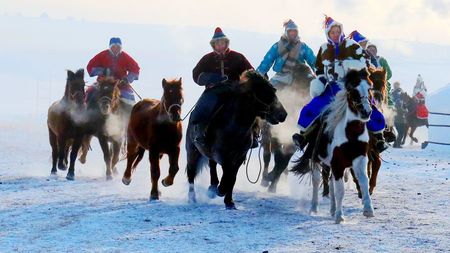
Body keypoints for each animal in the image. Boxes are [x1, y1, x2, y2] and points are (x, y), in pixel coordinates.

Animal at [186, 70, 288, 209]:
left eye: (273, 90)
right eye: (264, 93)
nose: (283, 114)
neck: (235, 126)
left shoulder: (240, 156)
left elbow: (232, 178)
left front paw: (229, 201)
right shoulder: (222, 155)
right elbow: (227, 174)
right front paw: (221, 190)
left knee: (212, 165)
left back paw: (212, 188)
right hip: (192, 151)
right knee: (191, 174)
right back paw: (193, 198)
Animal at [260, 62, 312, 192]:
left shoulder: (293, 141)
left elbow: (283, 161)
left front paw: (273, 183)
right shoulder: (276, 136)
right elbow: (277, 158)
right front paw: (269, 179)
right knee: (267, 156)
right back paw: (264, 179)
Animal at [292, 69, 372, 223]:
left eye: (369, 89)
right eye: (354, 91)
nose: (367, 111)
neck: (351, 135)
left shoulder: (359, 159)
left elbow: (364, 181)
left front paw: (368, 209)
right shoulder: (338, 163)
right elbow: (340, 190)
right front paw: (340, 217)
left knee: (331, 184)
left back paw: (333, 209)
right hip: (317, 160)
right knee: (317, 181)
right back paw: (314, 208)